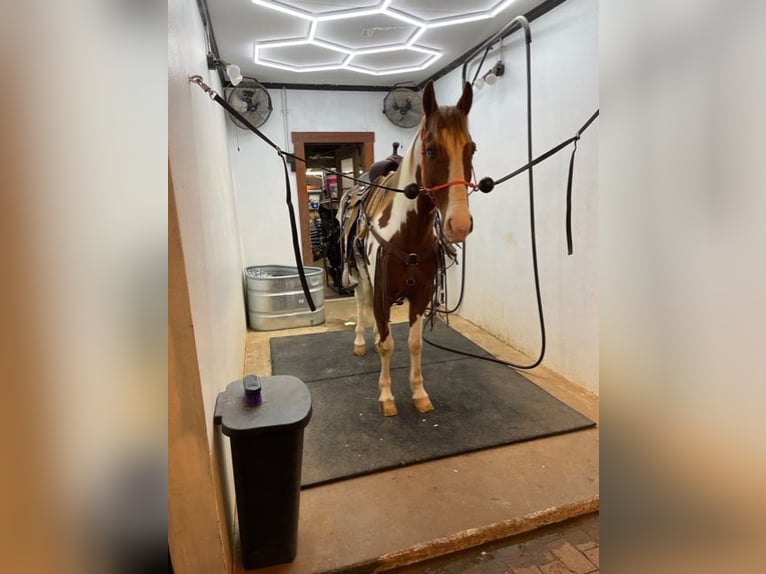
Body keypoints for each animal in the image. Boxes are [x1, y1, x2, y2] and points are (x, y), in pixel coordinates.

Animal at [338, 80, 476, 416]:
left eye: (472, 149)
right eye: (431, 150)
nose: (459, 224)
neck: (408, 234)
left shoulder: (421, 294)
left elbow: (414, 344)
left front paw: (419, 393)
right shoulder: (381, 291)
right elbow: (388, 345)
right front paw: (387, 397)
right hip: (361, 276)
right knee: (361, 306)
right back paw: (360, 342)